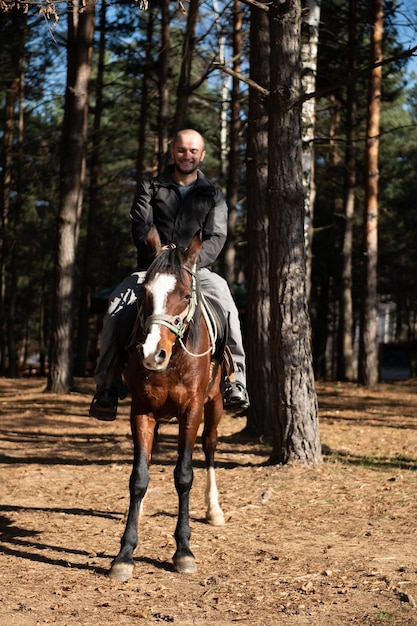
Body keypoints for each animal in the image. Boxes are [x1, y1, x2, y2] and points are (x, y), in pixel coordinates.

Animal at [107, 228, 224, 580]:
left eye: (185, 295)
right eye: (145, 293)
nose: (152, 353)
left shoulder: (192, 411)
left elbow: (184, 475)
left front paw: (183, 551)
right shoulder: (141, 411)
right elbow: (139, 477)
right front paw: (125, 554)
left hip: (215, 405)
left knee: (210, 446)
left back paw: (214, 509)